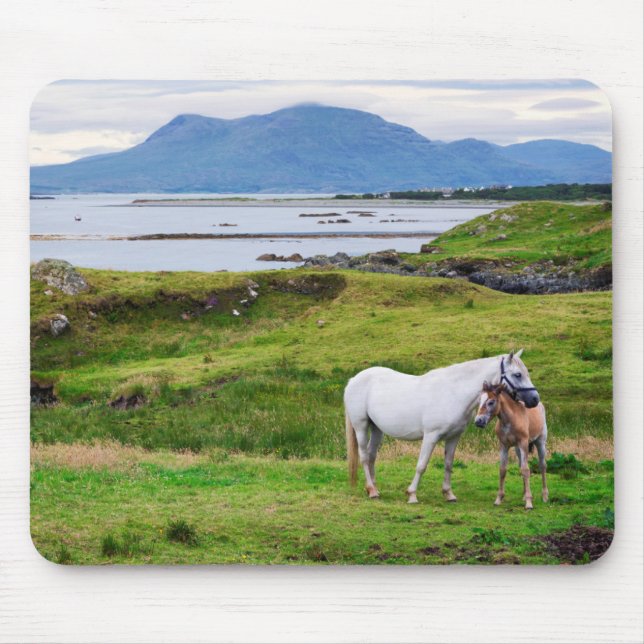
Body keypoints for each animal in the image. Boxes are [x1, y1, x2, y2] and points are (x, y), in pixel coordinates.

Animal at [344, 350, 540, 503]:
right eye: (517, 374)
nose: (535, 399)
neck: (453, 392)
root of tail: (353, 380)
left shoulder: (454, 437)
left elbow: (448, 464)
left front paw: (448, 494)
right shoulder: (431, 436)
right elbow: (421, 465)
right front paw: (412, 494)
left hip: (377, 429)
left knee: (371, 456)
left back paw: (373, 489)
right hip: (361, 426)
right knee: (364, 456)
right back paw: (372, 490)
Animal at [474, 381, 548, 509]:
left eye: (491, 402)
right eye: (480, 400)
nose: (478, 421)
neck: (509, 420)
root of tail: (540, 405)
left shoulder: (523, 443)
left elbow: (526, 470)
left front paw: (529, 503)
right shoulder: (504, 445)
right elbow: (503, 469)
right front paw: (498, 499)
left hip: (540, 442)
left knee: (542, 466)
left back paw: (544, 496)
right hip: (518, 449)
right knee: (520, 465)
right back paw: (524, 495)